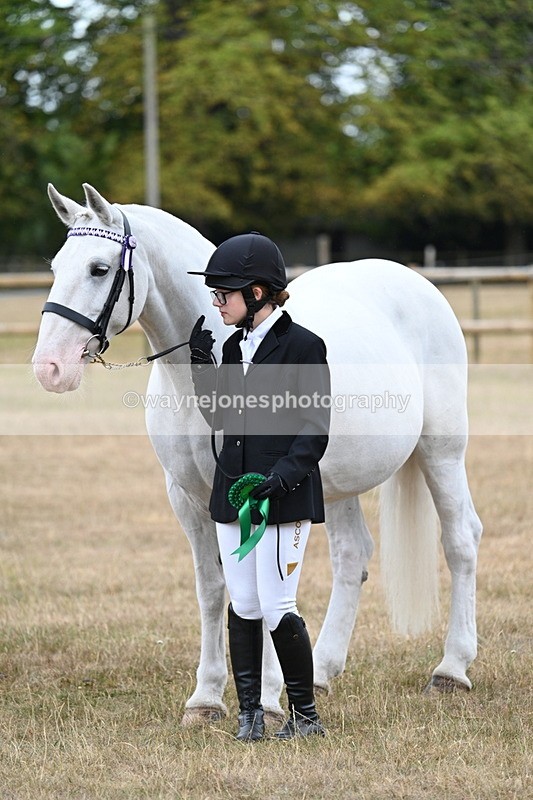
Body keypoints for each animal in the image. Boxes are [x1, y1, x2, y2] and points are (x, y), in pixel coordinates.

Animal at [33, 183, 482, 723]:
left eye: (99, 269)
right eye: (56, 266)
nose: (49, 368)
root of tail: (417, 283)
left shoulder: (258, 490)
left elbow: (263, 584)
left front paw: (266, 702)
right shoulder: (189, 498)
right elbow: (213, 588)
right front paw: (206, 698)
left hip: (442, 451)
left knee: (461, 541)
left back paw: (451, 670)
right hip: (334, 484)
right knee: (352, 556)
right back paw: (322, 671)